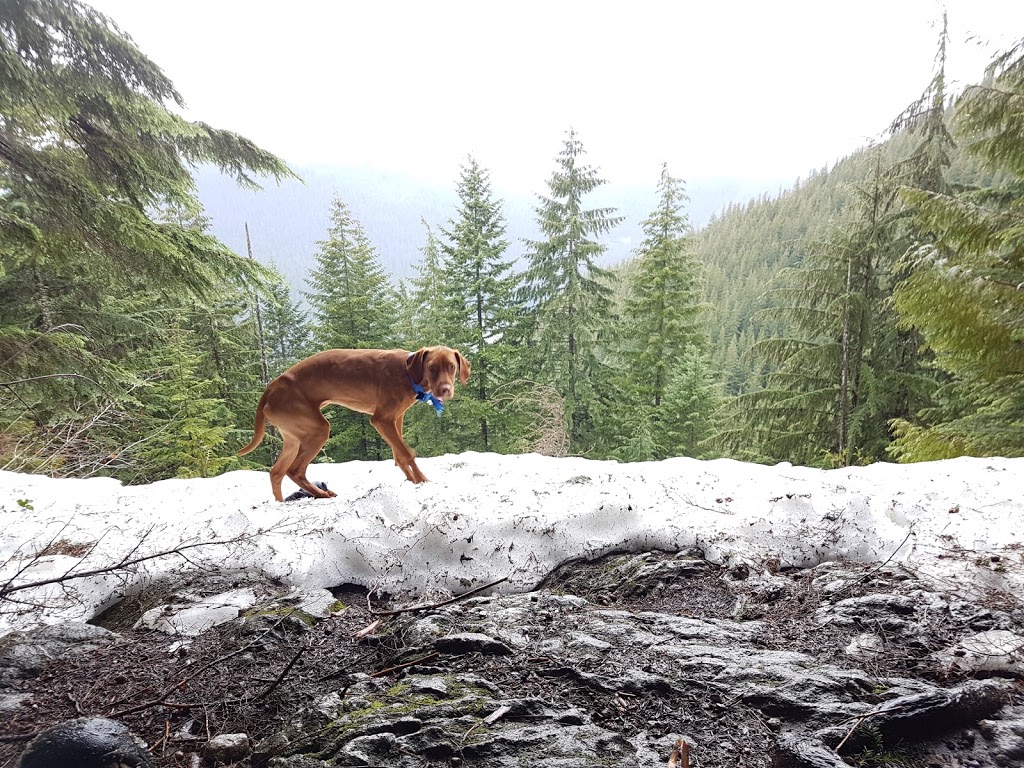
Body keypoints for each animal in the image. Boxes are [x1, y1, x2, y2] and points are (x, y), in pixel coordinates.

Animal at [237, 346, 468, 501]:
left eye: (452, 367)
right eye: (431, 367)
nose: (445, 390)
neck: (408, 373)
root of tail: (272, 385)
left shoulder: (395, 420)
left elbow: (399, 456)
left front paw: (412, 481)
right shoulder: (382, 420)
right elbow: (407, 453)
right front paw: (423, 481)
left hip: (294, 437)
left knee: (276, 472)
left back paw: (282, 503)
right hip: (317, 430)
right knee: (294, 470)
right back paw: (323, 495)